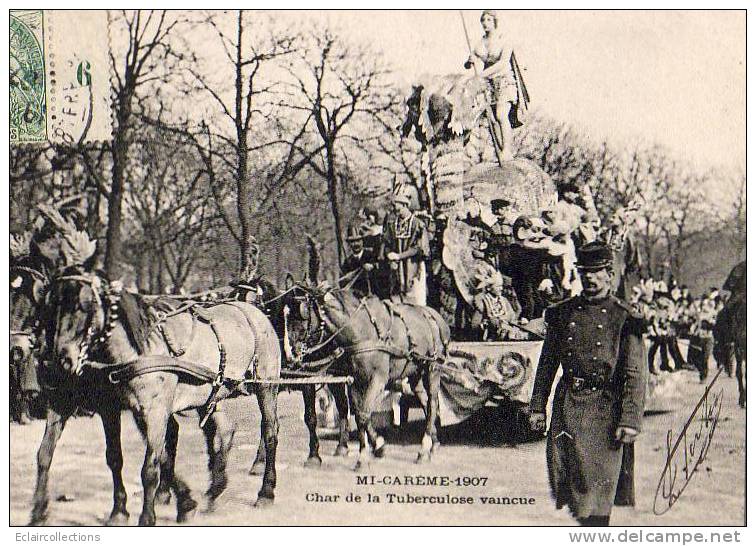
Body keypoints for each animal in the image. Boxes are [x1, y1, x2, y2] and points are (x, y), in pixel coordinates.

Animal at [39, 241, 280, 524]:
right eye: (50, 303)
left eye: (83, 304)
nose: (59, 359)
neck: (138, 350)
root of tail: (253, 309)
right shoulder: (113, 409)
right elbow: (118, 458)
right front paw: (121, 511)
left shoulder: (154, 412)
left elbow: (151, 467)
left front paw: (149, 516)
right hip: (211, 393)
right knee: (221, 430)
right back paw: (215, 488)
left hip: (266, 385)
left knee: (270, 431)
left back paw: (265, 491)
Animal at [294, 284, 448, 468]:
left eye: (304, 315)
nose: (294, 352)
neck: (362, 332)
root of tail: (432, 314)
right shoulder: (354, 381)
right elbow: (359, 414)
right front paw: (375, 448)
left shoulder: (378, 380)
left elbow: (363, 415)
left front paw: (364, 457)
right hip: (414, 373)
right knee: (425, 402)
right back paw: (433, 443)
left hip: (432, 369)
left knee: (432, 403)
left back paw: (424, 450)